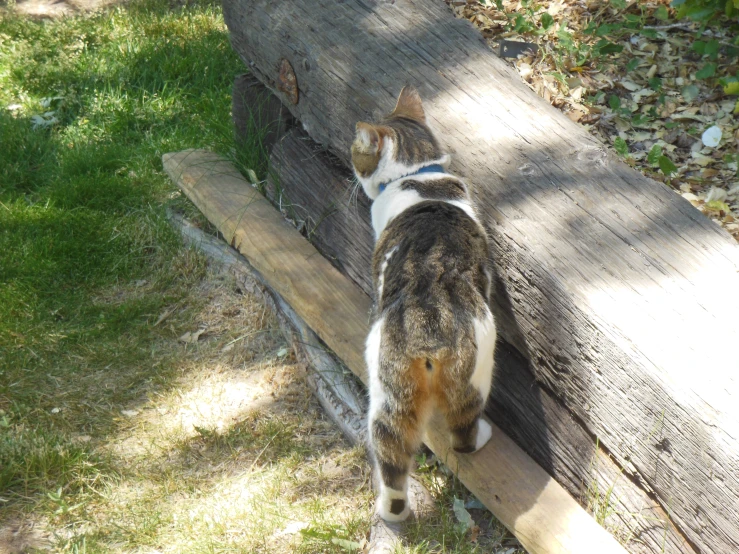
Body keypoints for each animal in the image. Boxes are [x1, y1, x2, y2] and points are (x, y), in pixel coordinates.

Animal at [352, 85, 498, 516]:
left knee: (397, 453)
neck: (415, 175)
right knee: (458, 433)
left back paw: (391, 509)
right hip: (473, 374)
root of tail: (426, 324)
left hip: (387, 392)